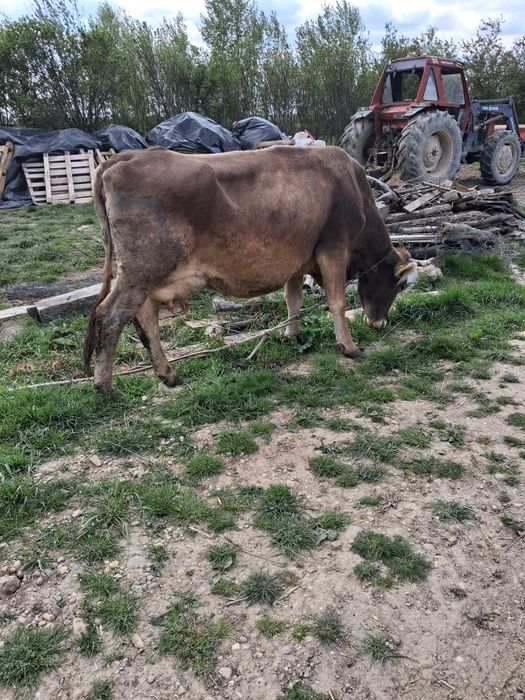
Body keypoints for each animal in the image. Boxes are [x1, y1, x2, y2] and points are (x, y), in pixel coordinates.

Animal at [84, 146, 417, 393]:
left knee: (145, 319)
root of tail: (124, 158)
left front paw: (290, 334)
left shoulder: (298, 258)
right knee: (110, 315)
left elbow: (293, 299)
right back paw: (104, 384)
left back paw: (166, 373)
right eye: (400, 286)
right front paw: (348, 346)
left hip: (145, 277)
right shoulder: (333, 247)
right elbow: (336, 301)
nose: (379, 324)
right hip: (141, 272)